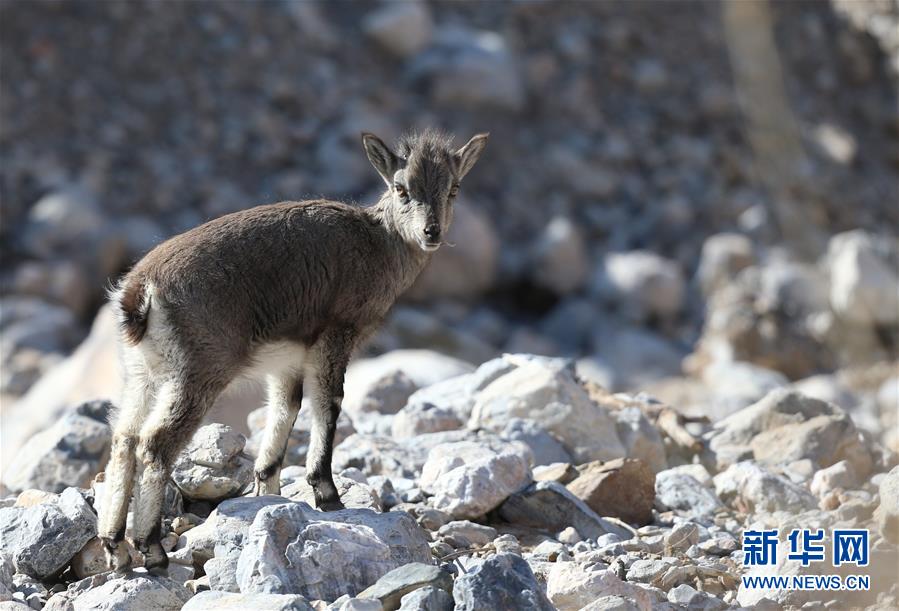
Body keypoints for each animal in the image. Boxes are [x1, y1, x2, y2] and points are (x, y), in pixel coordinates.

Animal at [95, 129, 488, 574]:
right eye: (401, 188)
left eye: (453, 188)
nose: (431, 232)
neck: (378, 244)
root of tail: (139, 293)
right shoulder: (336, 334)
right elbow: (328, 403)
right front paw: (327, 493)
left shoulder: (287, 358)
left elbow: (286, 410)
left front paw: (269, 492)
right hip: (198, 371)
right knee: (155, 443)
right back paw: (151, 547)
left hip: (142, 373)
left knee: (124, 438)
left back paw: (114, 545)